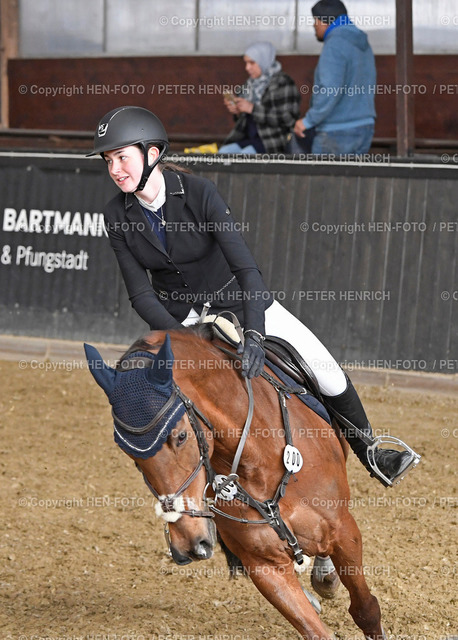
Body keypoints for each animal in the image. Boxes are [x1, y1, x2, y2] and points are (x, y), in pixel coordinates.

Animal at [84, 328, 384, 636]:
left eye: (180, 437)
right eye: (131, 456)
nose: (187, 545)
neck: (259, 460)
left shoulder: (344, 530)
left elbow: (366, 609)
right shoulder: (265, 566)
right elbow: (315, 630)